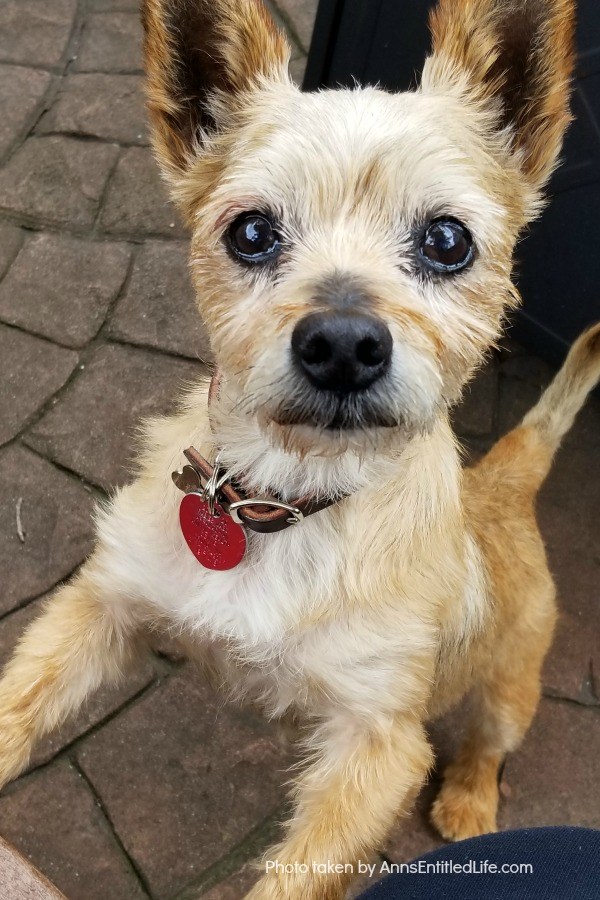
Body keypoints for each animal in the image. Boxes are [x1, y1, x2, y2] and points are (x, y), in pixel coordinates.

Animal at [0, 0, 596, 896]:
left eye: (448, 241)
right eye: (251, 231)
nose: (344, 344)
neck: (283, 501)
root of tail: (502, 485)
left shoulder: (378, 748)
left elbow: (295, 877)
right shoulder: (100, 608)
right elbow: (14, 709)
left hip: (509, 684)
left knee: (487, 745)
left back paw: (467, 799)